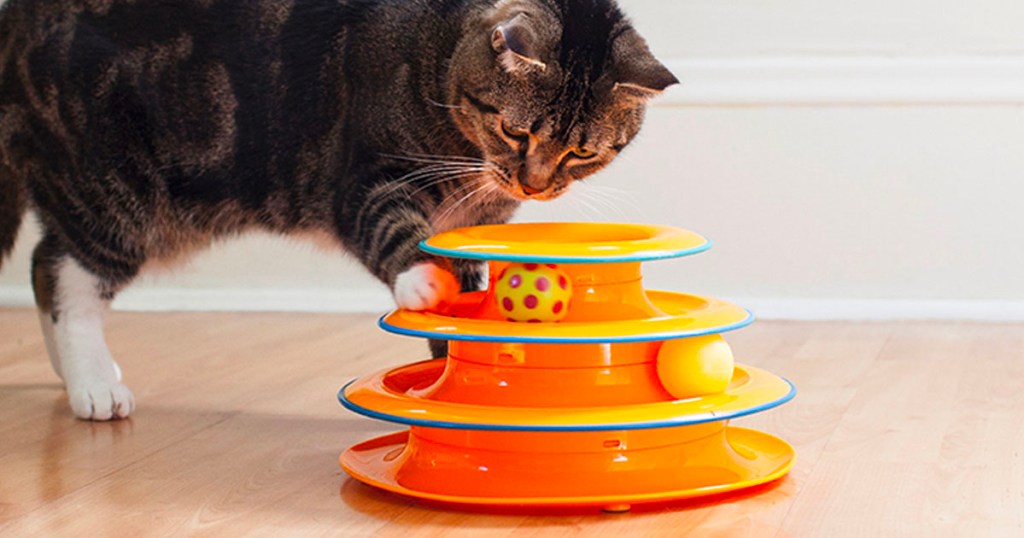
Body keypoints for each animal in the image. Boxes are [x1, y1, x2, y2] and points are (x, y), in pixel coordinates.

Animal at [0, 0, 675, 420]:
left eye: (581, 152)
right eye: (515, 131)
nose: (534, 186)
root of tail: (21, 19)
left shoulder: (473, 227)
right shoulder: (364, 178)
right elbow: (389, 226)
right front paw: (423, 284)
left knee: (44, 262)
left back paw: (72, 371)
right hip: (118, 190)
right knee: (69, 276)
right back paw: (94, 385)